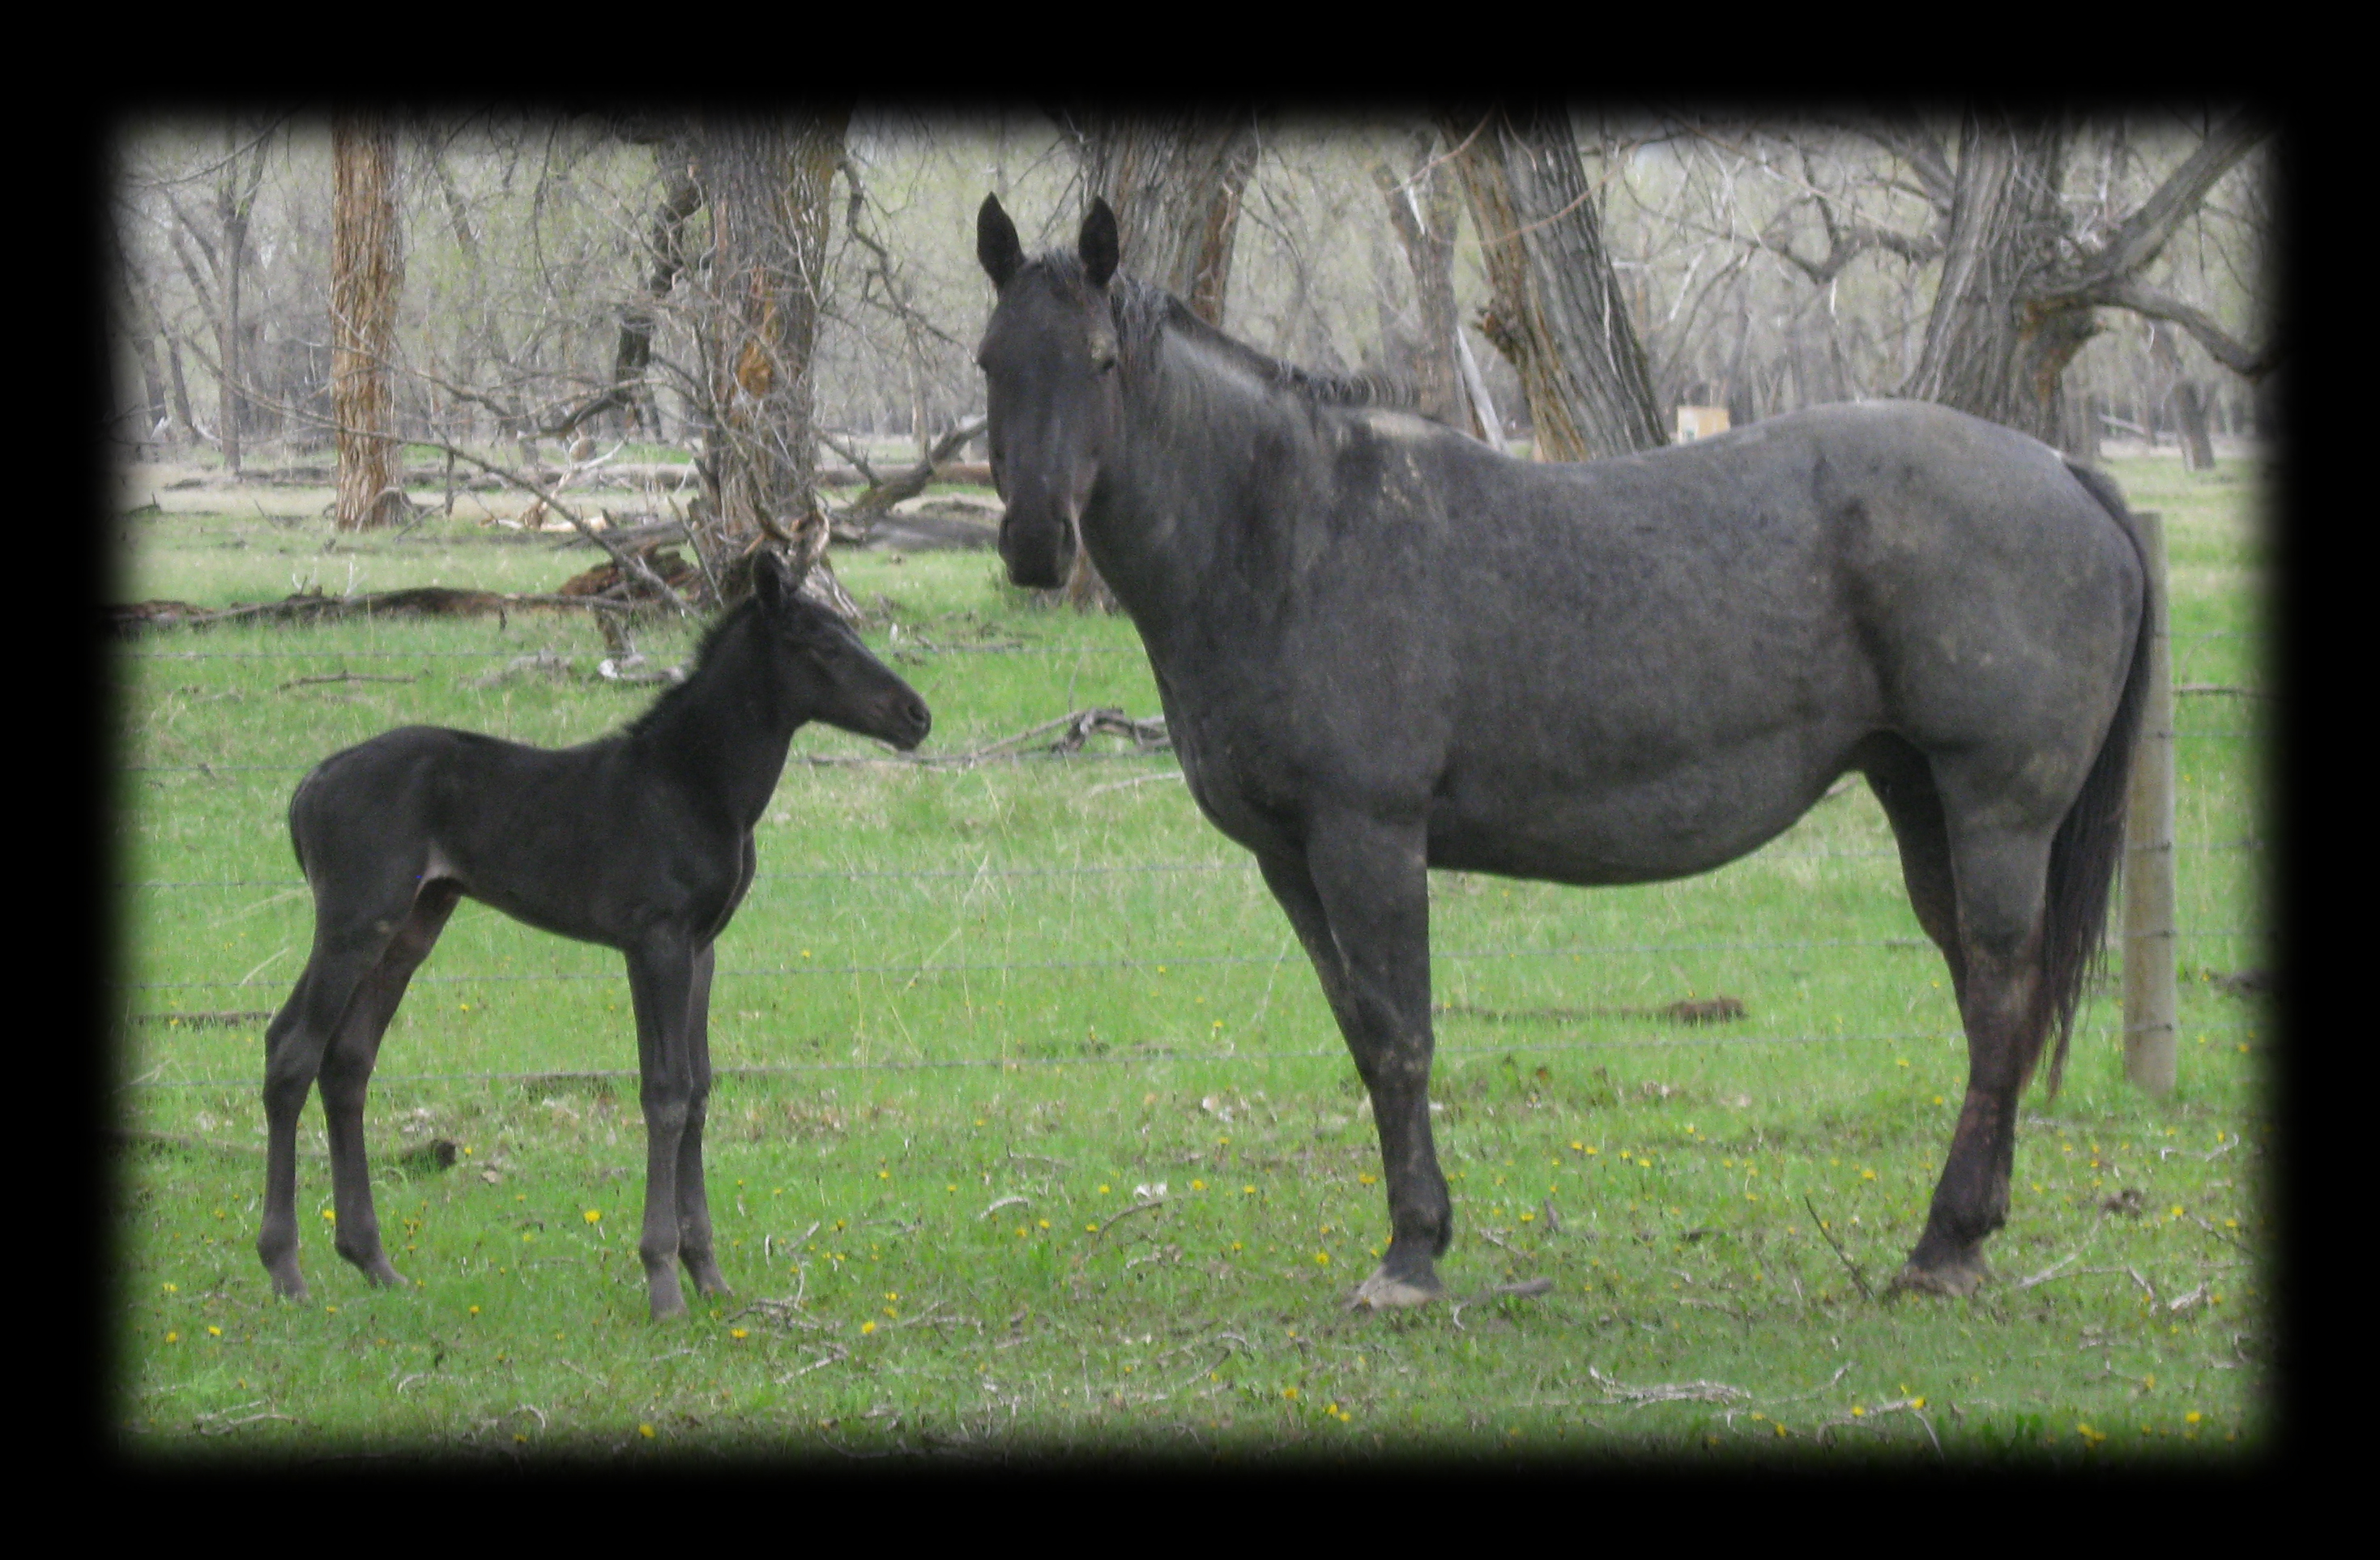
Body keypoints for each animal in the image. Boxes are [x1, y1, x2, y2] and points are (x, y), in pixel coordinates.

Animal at [255, 552, 931, 1319]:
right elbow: (665, 1093)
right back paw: (286, 1269)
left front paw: (709, 1274)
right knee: (291, 1049)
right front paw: (663, 1280)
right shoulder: (655, 940)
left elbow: (700, 1091)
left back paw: (373, 1260)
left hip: (413, 924)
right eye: (821, 644)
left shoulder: (702, 947)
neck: (699, 788)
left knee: (348, 1061)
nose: (917, 716)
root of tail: (308, 787)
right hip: (352, 921)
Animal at [973, 195, 2151, 1307]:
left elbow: (1401, 1038)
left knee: (1997, 1000)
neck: (1291, 533)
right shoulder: (1289, 860)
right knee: (1985, 998)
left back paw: (1943, 1247)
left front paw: (1411, 1257)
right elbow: (1361, 1034)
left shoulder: (1369, 840)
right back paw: (1968, 1232)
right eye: (989, 361)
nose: (1034, 540)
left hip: (1997, 813)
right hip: (1920, 802)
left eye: (1101, 360)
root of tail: (2064, 471)